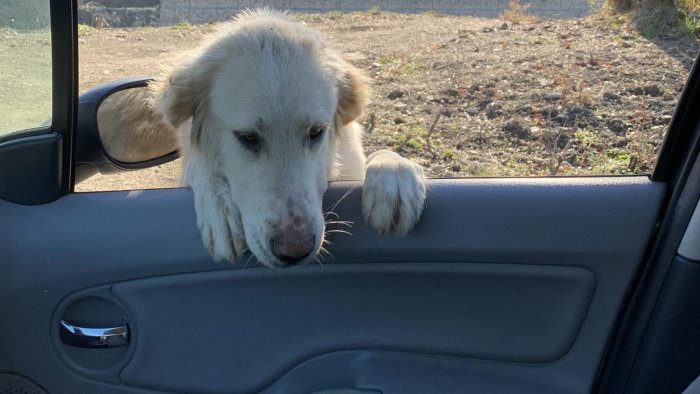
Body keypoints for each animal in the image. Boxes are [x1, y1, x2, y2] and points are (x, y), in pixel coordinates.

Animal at [102, 10, 426, 268]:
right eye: (248, 138)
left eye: (315, 132)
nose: (295, 251)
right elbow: (201, 167)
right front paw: (218, 203)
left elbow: (385, 158)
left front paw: (395, 177)